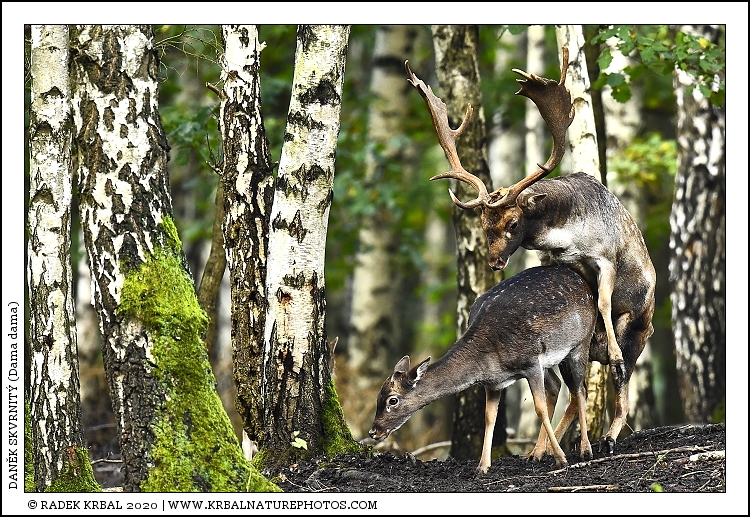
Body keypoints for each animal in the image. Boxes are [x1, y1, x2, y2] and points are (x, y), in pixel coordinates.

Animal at [369, 265, 597, 474]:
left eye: (392, 400)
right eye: (378, 397)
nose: (373, 432)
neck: (489, 359)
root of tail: (582, 280)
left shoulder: (531, 362)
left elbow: (539, 408)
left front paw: (561, 459)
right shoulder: (494, 382)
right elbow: (489, 417)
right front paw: (482, 466)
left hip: (581, 342)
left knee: (579, 390)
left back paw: (585, 450)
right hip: (549, 362)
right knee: (557, 386)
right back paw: (536, 453)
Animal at [405, 47, 656, 453]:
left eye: (512, 223)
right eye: (483, 224)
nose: (493, 261)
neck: (570, 235)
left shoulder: (606, 256)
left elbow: (603, 302)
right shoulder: (556, 260)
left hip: (640, 329)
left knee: (622, 387)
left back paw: (608, 433)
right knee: (571, 388)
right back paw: (542, 449)